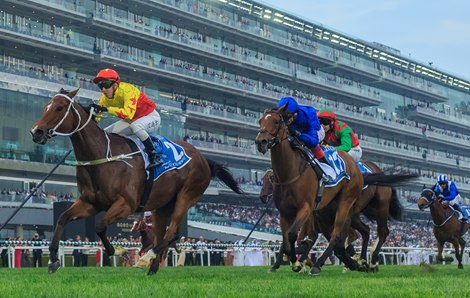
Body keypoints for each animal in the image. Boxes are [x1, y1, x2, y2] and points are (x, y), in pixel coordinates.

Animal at [30, 88, 242, 274]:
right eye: (45, 107)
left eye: (59, 108)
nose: (36, 132)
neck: (102, 158)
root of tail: (204, 159)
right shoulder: (89, 203)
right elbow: (63, 218)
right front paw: (53, 260)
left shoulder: (126, 204)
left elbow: (99, 226)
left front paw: (116, 250)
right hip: (162, 206)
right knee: (162, 233)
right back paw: (152, 268)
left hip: (187, 196)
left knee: (171, 231)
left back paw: (150, 257)